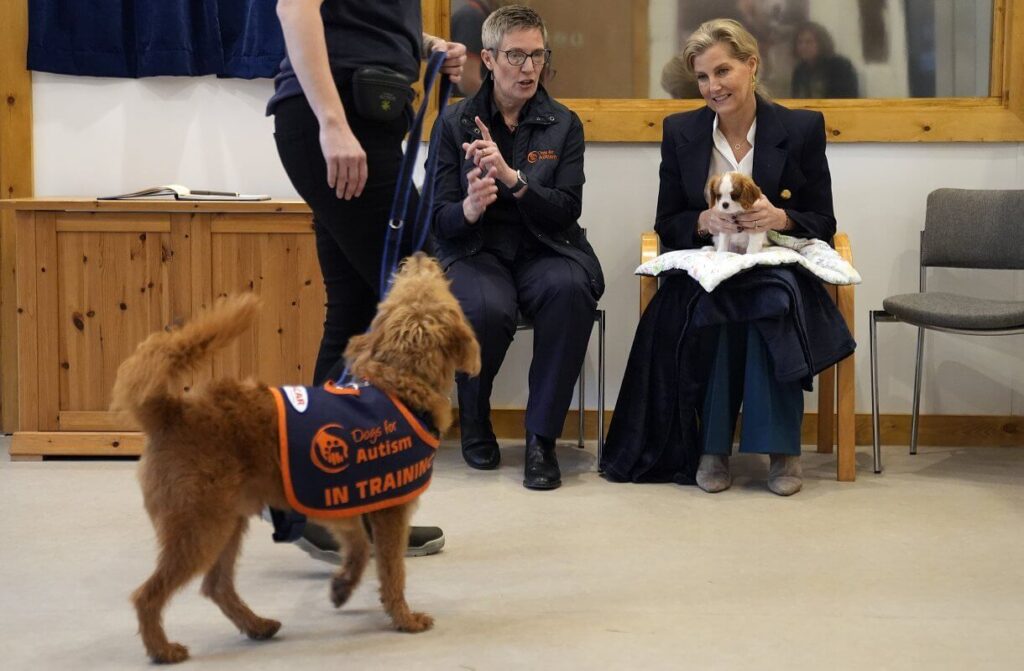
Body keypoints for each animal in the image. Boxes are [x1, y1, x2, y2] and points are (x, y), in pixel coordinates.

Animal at [114, 255, 481, 663]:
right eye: (419, 284)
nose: (419, 257)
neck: (400, 384)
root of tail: (170, 411)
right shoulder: (390, 512)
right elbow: (392, 570)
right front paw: (404, 618)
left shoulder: (342, 498)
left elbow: (358, 549)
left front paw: (343, 586)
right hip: (199, 528)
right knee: (148, 594)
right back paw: (161, 648)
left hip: (227, 524)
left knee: (216, 586)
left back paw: (257, 625)